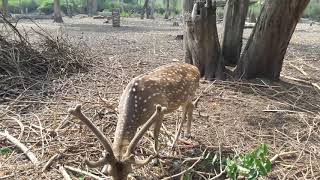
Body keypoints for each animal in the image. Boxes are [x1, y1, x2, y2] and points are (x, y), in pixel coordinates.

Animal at [69, 62, 200, 179]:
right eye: (110, 173)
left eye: (129, 171)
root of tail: (196, 69)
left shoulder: (161, 110)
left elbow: (155, 134)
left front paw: (156, 159)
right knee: (191, 107)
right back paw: (187, 134)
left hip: (189, 94)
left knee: (185, 112)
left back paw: (175, 142)